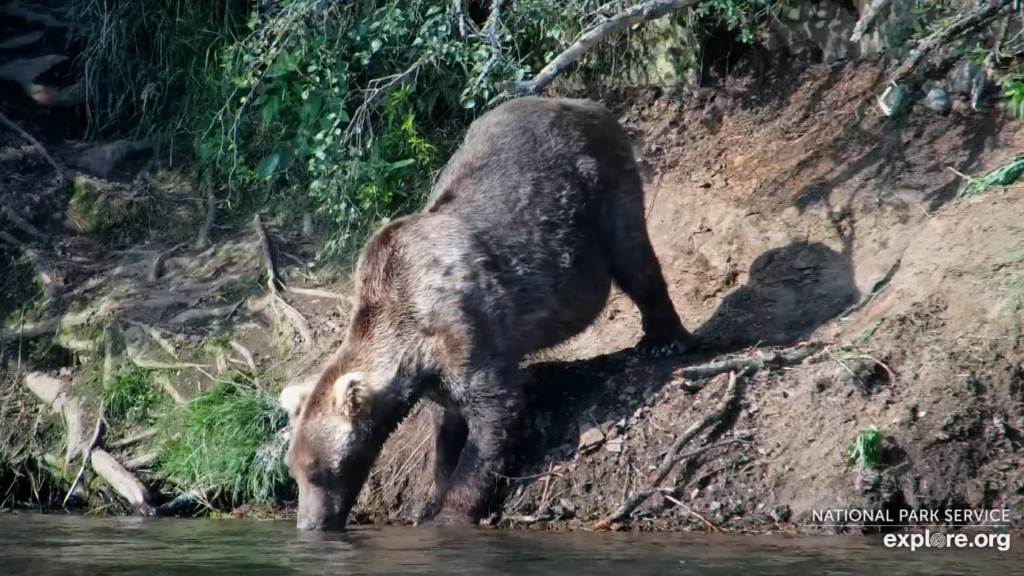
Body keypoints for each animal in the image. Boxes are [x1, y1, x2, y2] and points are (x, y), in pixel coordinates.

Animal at [278, 94, 696, 528]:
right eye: (295, 472)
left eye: (324, 471)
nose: (310, 524)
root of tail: (581, 102)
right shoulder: (434, 370)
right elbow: (448, 422)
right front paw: (440, 483)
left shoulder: (464, 322)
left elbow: (494, 410)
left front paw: (450, 511)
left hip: (603, 182)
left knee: (634, 256)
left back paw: (664, 340)